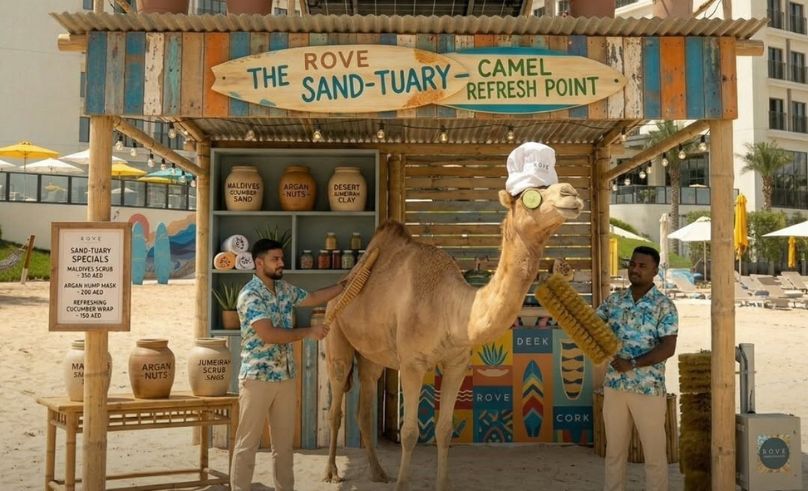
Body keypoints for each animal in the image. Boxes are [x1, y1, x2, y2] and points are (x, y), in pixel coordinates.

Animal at [323, 182, 584, 491]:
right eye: (530, 197)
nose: (571, 193)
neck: (450, 309)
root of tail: (344, 282)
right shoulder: (411, 364)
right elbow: (409, 432)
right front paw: (402, 484)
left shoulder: (457, 363)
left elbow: (445, 430)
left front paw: (442, 483)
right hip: (336, 336)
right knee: (335, 407)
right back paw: (331, 473)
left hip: (371, 355)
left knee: (363, 408)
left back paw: (378, 473)